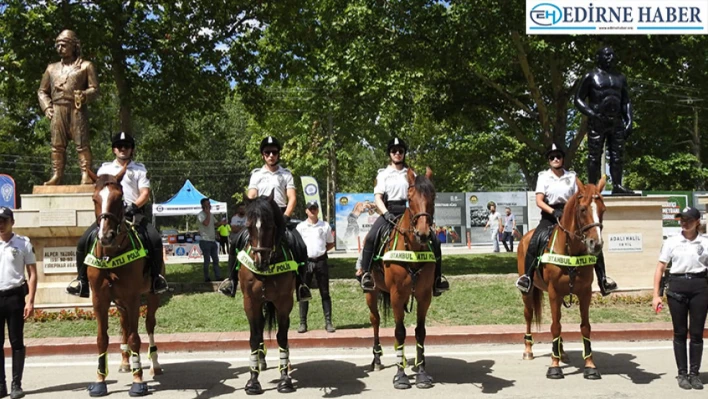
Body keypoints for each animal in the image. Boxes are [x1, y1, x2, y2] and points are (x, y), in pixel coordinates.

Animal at [85, 167, 162, 398]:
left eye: (119, 199)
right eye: (94, 199)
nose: (106, 236)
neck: (111, 255)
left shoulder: (133, 297)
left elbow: (136, 337)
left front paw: (138, 381)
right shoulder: (100, 300)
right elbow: (102, 339)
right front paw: (100, 380)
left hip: (151, 296)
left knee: (149, 325)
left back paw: (154, 364)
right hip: (119, 304)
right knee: (124, 326)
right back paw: (126, 361)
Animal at [239, 192, 298, 396]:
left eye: (270, 226)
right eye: (248, 226)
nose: (259, 261)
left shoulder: (284, 302)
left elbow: (282, 337)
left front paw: (285, 379)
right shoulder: (250, 302)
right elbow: (254, 337)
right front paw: (252, 381)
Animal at [366, 166, 436, 390]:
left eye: (432, 196)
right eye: (410, 197)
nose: (423, 233)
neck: (412, 248)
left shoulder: (423, 296)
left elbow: (419, 332)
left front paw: (421, 372)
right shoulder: (396, 295)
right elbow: (399, 332)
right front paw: (400, 376)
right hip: (371, 292)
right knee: (375, 320)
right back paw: (377, 359)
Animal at [516, 177, 604, 382]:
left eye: (603, 209)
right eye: (583, 209)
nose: (596, 244)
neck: (571, 250)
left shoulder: (585, 293)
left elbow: (585, 327)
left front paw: (590, 365)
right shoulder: (554, 293)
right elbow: (555, 326)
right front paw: (554, 367)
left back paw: (561, 351)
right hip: (528, 293)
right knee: (529, 315)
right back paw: (528, 349)